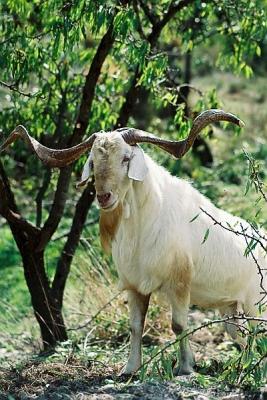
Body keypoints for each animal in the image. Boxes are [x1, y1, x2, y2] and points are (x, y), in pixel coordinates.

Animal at [1, 109, 266, 376]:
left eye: (126, 158)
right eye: (93, 162)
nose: (104, 196)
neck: (143, 228)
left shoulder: (179, 283)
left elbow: (179, 325)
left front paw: (186, 368)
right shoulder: (134, 286)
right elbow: (136, 326)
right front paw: (129, 369)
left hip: (256, 302)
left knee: (257, 331)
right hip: (231, 307)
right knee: (243, 334)